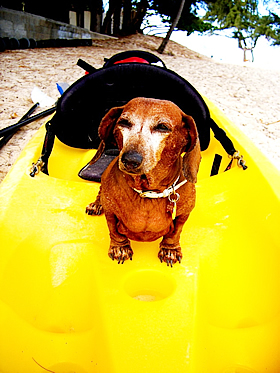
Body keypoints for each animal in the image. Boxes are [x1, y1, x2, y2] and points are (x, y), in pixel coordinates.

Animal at [86, 96, 200, 264]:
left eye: (163, 127)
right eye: (123, 122)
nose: (130, 160)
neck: (149, 192)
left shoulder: (183, 214)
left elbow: (175, 232)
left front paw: (170, 249)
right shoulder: (111, 213)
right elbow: (114, 230)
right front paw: (120, 248)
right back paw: (96, 204)